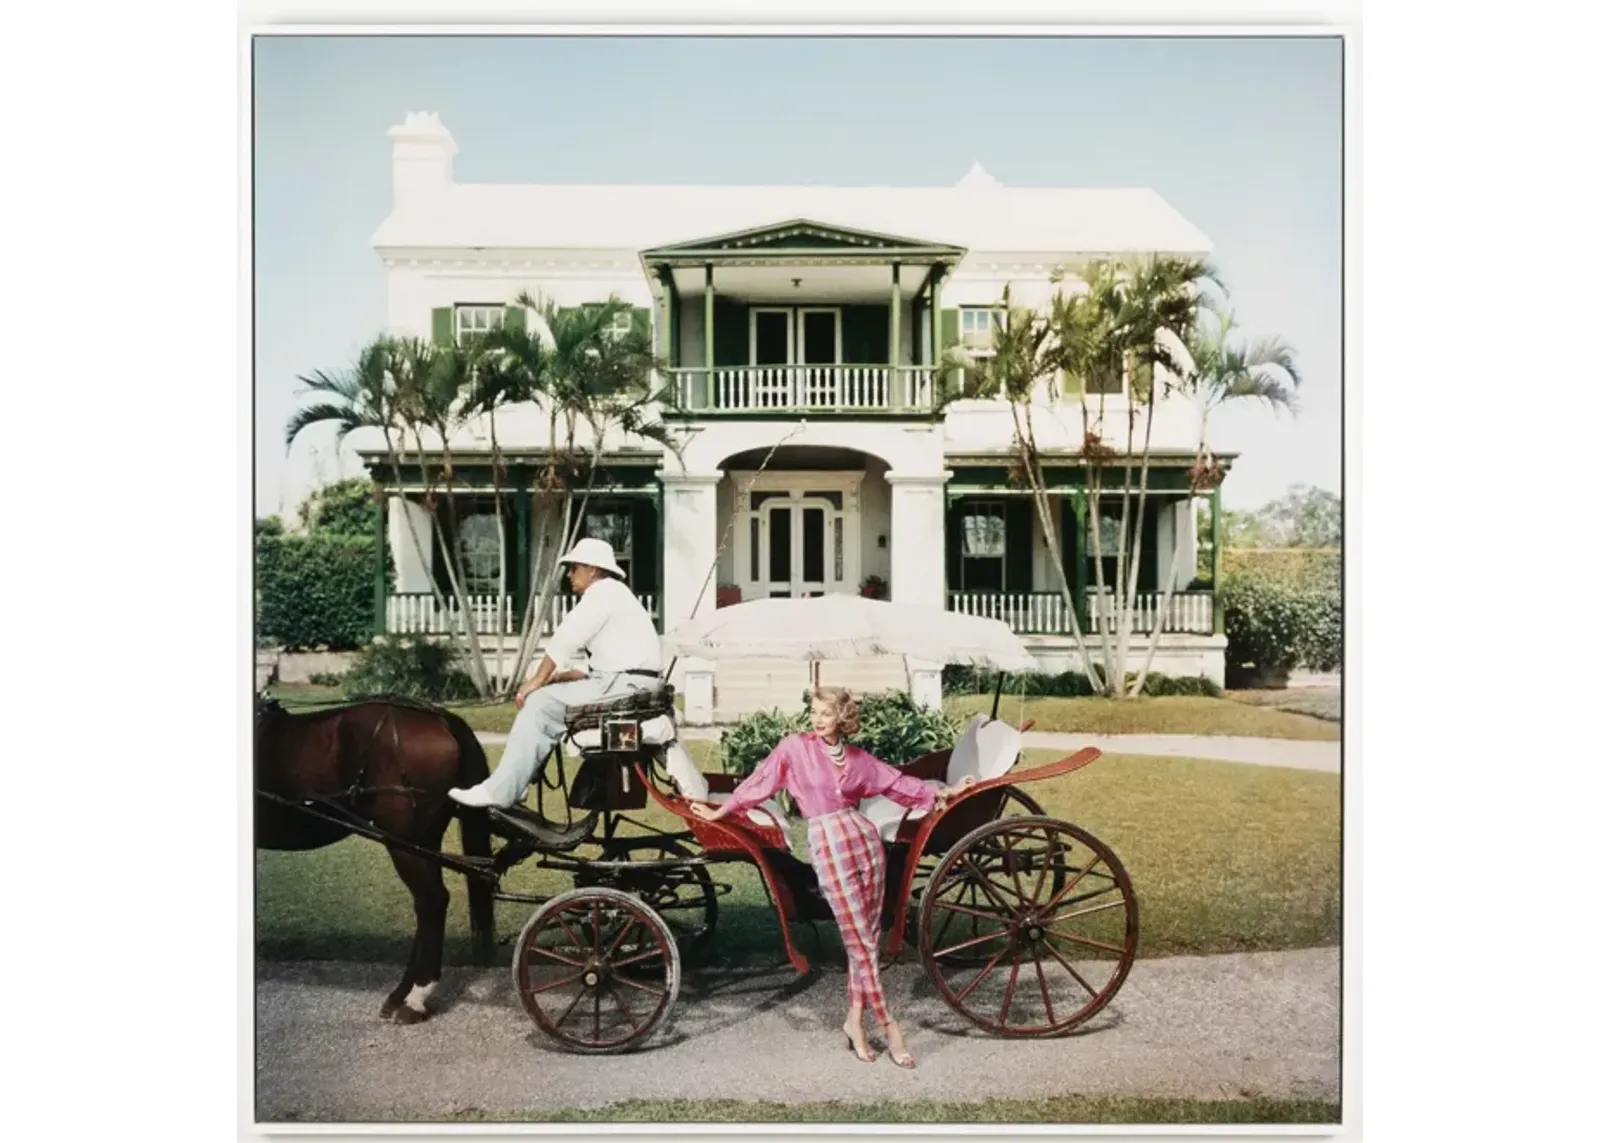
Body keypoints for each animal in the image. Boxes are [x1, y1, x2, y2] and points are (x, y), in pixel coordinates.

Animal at [256, 694, 496, 1024]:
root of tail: (440, 717)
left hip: (403, 844)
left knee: (432, 901)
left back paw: (415, 997)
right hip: (422, 843)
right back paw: (402, 994)